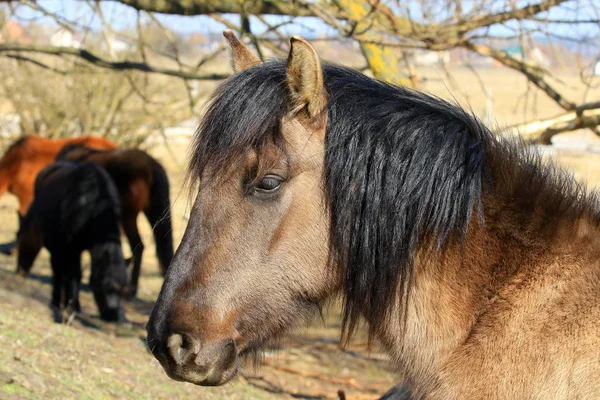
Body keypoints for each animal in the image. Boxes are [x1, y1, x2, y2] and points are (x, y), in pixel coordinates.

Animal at [17, 161, 128, 320]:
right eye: (106, 285)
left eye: (124, 288)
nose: (114, 315)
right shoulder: (73, 247)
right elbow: (76, 274)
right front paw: (74, 305)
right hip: (56, 244)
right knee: (58, 270)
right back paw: (56, 301)